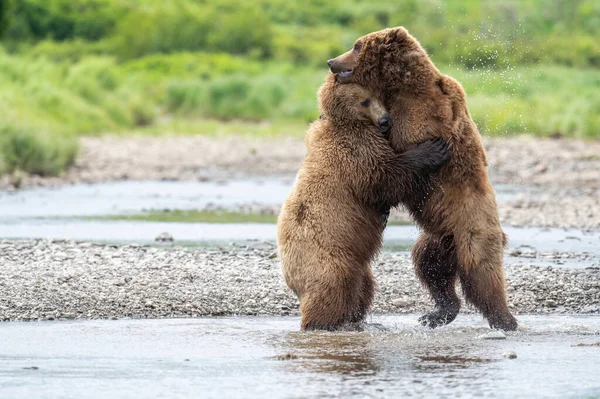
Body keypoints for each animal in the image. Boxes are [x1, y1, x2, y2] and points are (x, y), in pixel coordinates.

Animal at [276, 75, 450, 332]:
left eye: (380, 96)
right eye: (364, 101)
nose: (386, 120)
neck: (351, 122)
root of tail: (291, 279)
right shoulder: (353, 151)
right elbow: (384, 178)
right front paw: (433, 149)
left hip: (356, 263)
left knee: (362, 287)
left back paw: (355, 317)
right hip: (326, 258)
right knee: (333, 287)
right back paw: (322, 323)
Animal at [326, 27, 516, 332]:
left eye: (356, 46)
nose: (332, 61)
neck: (399, 86)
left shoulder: (423, 111)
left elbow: (403, 145)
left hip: (473, 232)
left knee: (483, 276)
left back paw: (505, 319)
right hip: (438, 240)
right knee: (431, 269)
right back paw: (437, 312)